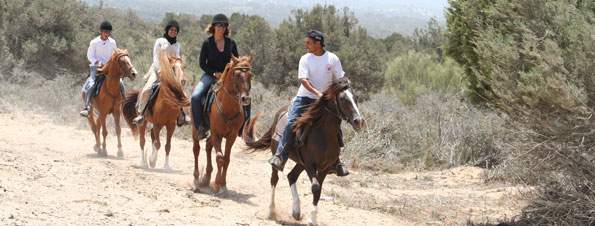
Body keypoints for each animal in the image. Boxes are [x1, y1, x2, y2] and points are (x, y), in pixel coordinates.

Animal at [192, 53, 253, 193]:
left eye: (251, 75)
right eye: (237, 75)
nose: (245, 98)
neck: (228, 108)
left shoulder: (232, 136)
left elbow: (227, 159)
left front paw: (223, 184)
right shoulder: (216, 133)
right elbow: (220, 158)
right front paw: (216, 184)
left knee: (208, 146)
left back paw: (206, 178)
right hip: (195, 128)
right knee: (196, 149)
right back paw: (197, 179)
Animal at [244, 77, 366, 224]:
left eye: (356, 97)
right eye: (343, 99)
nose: (359, 121)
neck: (323, 134)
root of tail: (279, 114)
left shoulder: (324, 167)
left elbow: (318, 189)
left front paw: (312, 219)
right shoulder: (310, 164)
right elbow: (315, 188)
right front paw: (312, 219)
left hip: (300, 163)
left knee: (291, 176)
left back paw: (296, 210)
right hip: (281, 157)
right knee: (274, 179)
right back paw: (272, 211)